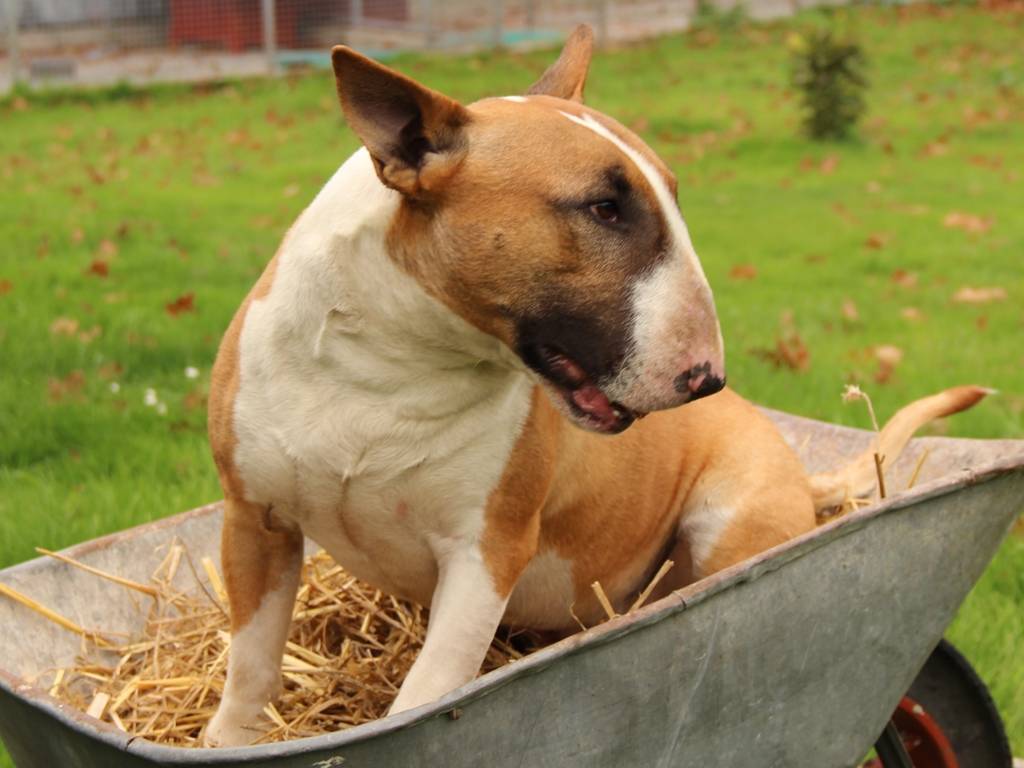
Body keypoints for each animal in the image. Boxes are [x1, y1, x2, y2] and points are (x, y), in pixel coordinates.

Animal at [201, 27, 983, 749]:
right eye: (604, 208)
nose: (708, 379)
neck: (391, 366)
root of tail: (798, 466)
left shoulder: (485, 553)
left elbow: (424, 694)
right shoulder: (254, 519)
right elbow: (251, 661)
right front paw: (229, 740)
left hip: (727, 519)